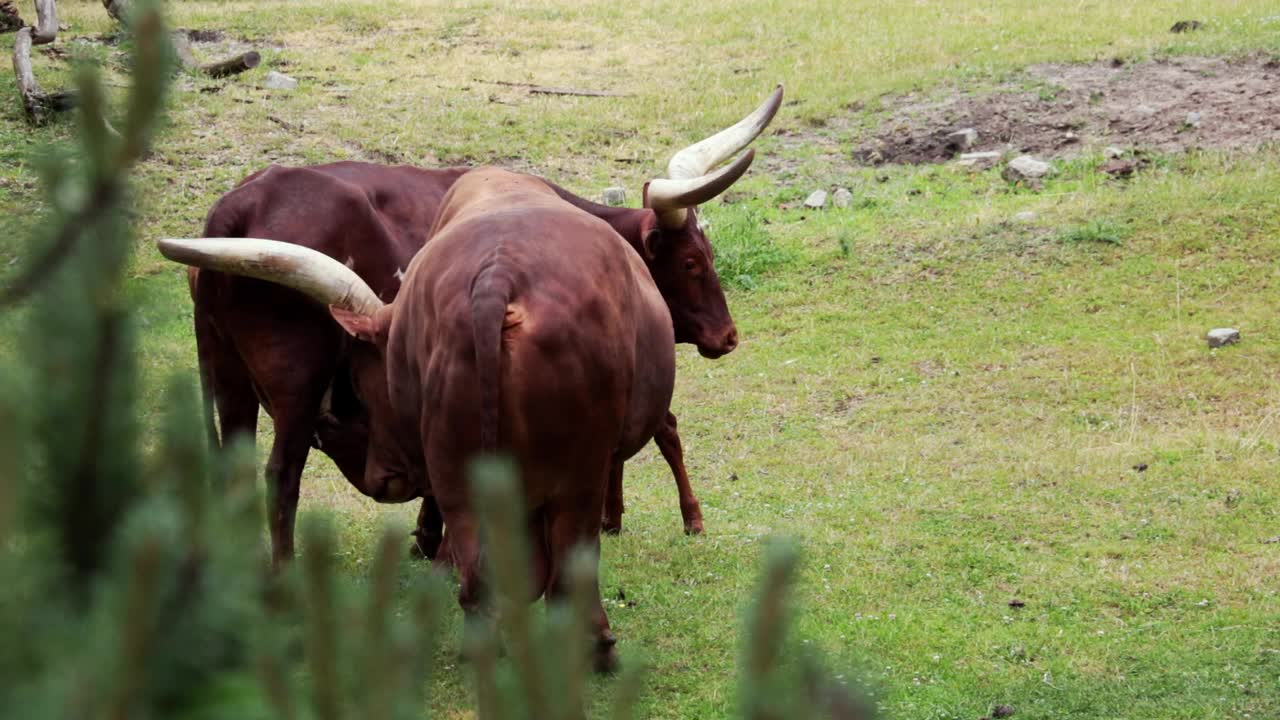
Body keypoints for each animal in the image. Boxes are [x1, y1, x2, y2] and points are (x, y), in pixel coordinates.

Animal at [177, 85, 778, 566]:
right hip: (297, 387)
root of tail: (237, 208)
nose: (728, 337)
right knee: (281, 478)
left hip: (229, 378)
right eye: (692, 263)